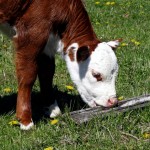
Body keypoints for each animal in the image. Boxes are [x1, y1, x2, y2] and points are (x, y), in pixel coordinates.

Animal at [0, 0, 119, 130]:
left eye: (115, 75)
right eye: (96, 75)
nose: (113, 101)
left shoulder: (46, 45)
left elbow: (47, 73)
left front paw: (52, 109)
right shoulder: (31, 35)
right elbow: (28, 77)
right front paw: (26, 121)